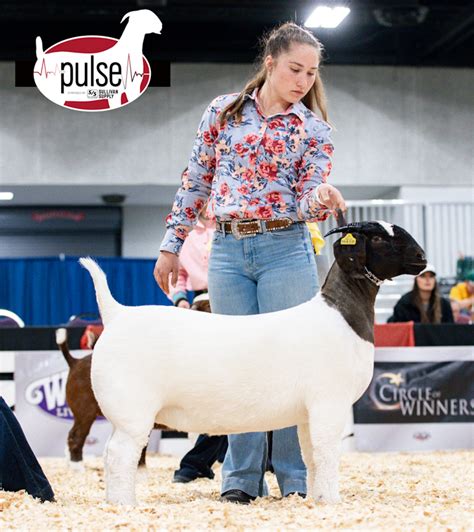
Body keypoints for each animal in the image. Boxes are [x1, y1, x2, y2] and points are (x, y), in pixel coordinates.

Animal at [79, 220, 424, 502]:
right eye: (378, 238)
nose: (421, 257)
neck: (340, 313)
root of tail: (117, 313)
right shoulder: (330, 403)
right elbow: (327, 454)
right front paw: (332, 501)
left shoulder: (308, 413)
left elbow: (311, 456)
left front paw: (316, 498)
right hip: (132, 412)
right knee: (120, 454)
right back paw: (124, 504)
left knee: (110, 454)